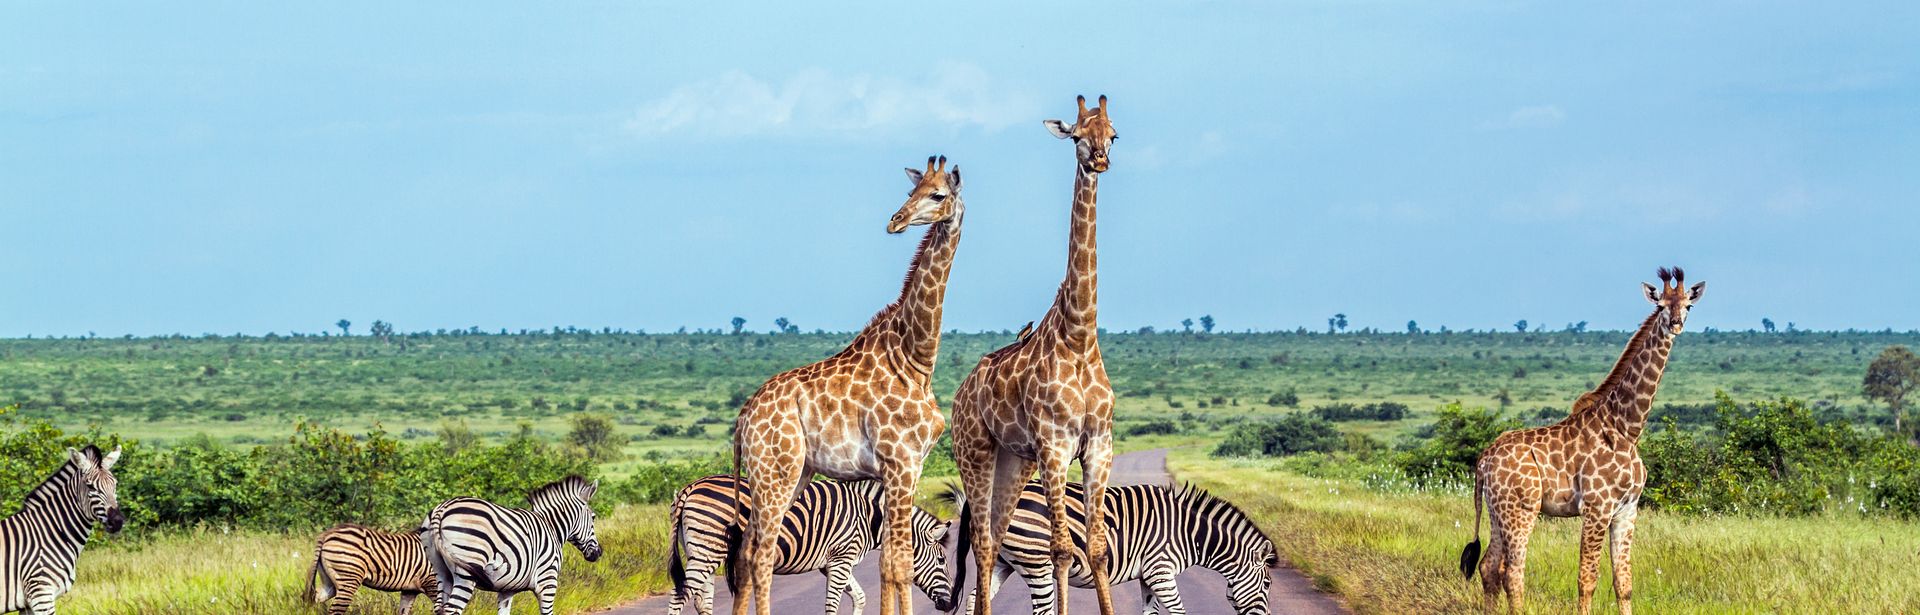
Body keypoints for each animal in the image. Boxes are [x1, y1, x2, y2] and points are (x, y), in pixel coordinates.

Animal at [1, 445, 125, 615]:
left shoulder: (28, 603)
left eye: (115, 485)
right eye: (90, 486)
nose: (117, 521)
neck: (49, 533)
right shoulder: (42, 594)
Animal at [307, 523, 440, 614]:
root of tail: (328, 533)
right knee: (335, 610)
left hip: (330, 582)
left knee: (315, 598)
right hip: (348, 578)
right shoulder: (432, 583)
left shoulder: (410, 590)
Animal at [422, 476, 602, 615]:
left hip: (441, 570)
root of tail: (442, 509)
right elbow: (547, 612)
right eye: (593, 517)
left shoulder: (507, 588)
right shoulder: (548, 580)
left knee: (439, 607)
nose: (598, 553)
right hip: (466, 571)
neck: (552, 526)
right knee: (451, 609)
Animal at [663, 475, 956, 615]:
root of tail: (690, 487)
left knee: (702, 601)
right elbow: (832, 604)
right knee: (680, 596)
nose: (950, 604)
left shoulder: (834, 563)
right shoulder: (841, 558)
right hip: (708, 549)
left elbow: (859, 597)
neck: (869, 517)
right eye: (942, 560)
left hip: (701, 551)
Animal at [950, 481, 1279, 615]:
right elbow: (1179, 611)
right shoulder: (1161, 570)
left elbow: (1151, 612)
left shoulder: (1149, 575)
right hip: (1036, 562)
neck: (1187, 532)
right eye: (1267, 584)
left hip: (1002, 561)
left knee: (975, 599)